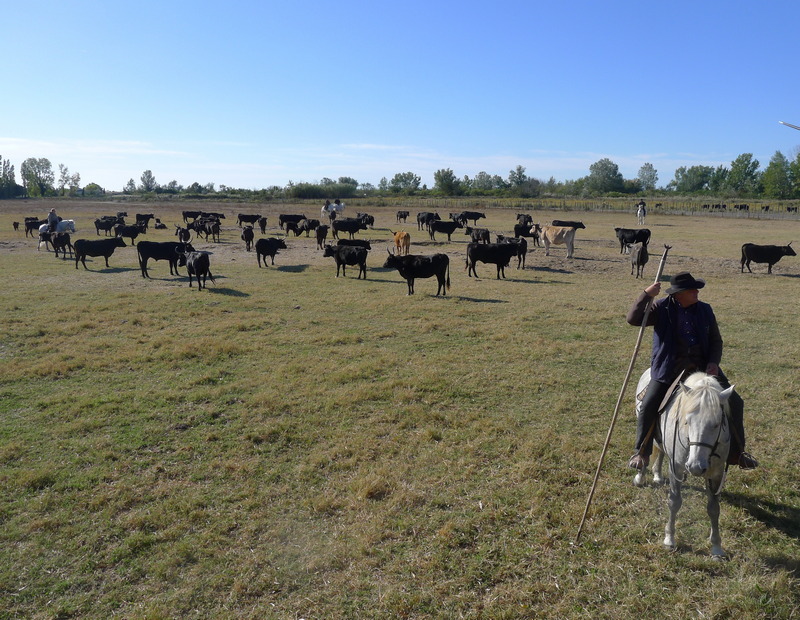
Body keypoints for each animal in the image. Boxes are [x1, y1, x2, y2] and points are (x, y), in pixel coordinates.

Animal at [632, 368, 732, 556]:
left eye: (717, 424)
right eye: (687, 421)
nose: (695, 467)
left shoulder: (716, 473)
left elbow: (714, 508)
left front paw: (716, 547)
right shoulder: (676, 468)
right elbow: (674, 502)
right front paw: (669, 540)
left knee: (661, 450)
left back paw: (657, 475)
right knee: (647, 447)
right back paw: (641, 475)